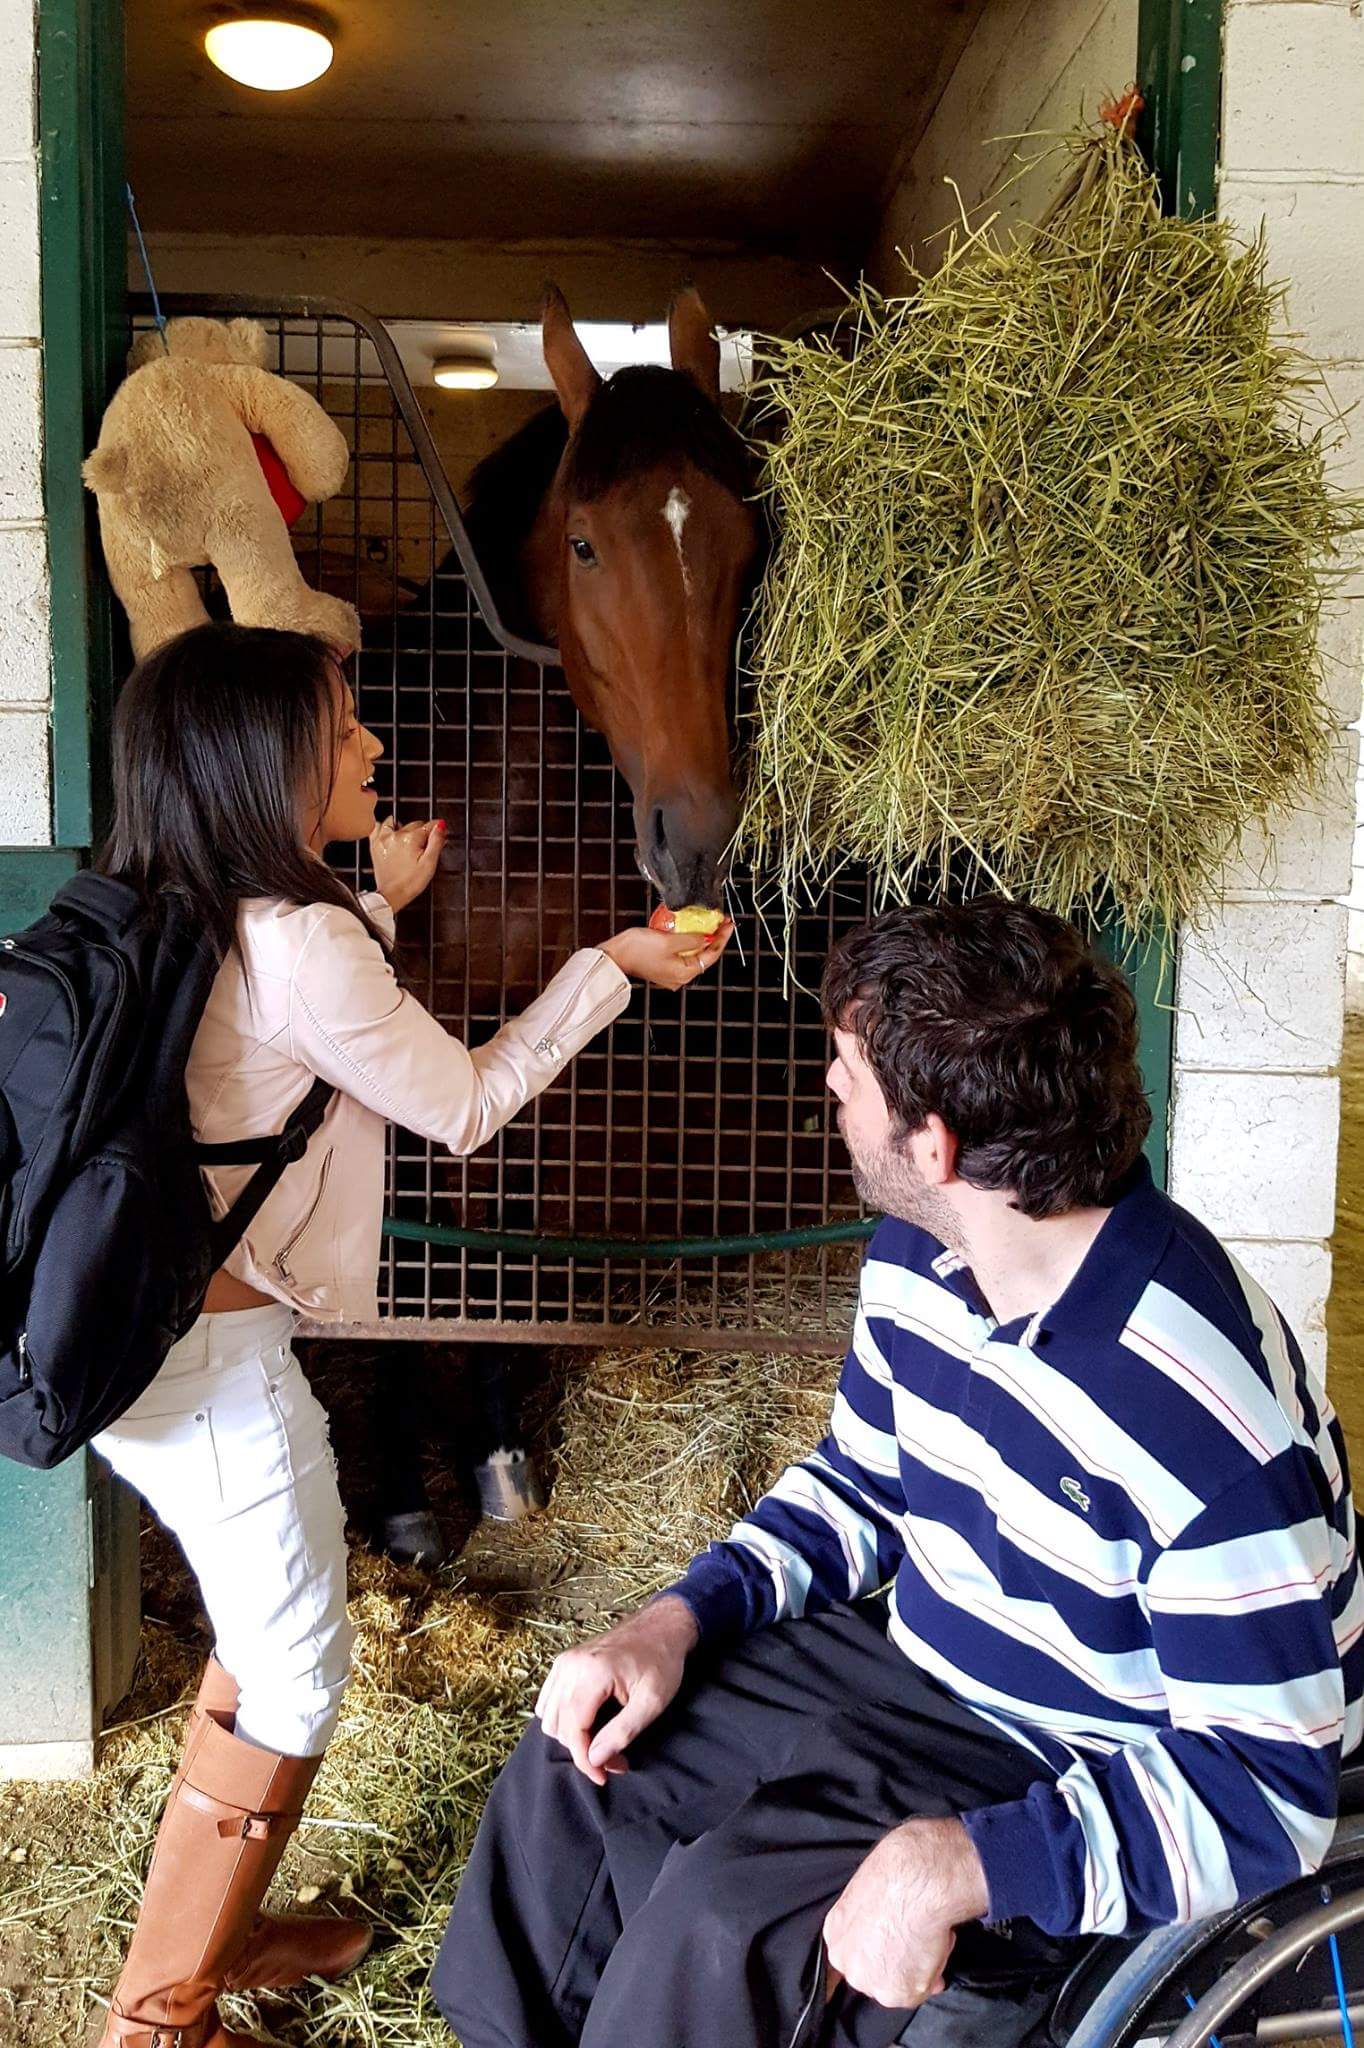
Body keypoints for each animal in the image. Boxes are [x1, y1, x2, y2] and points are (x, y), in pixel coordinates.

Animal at [366, 292, 757, 1564]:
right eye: (584, 544)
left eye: (747, 541)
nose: (695, 836)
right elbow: (413, 1235)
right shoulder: (420, 1027)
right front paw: (396, 1493)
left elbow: (510, 1228)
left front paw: (492, 1449)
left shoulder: (542, 1028)